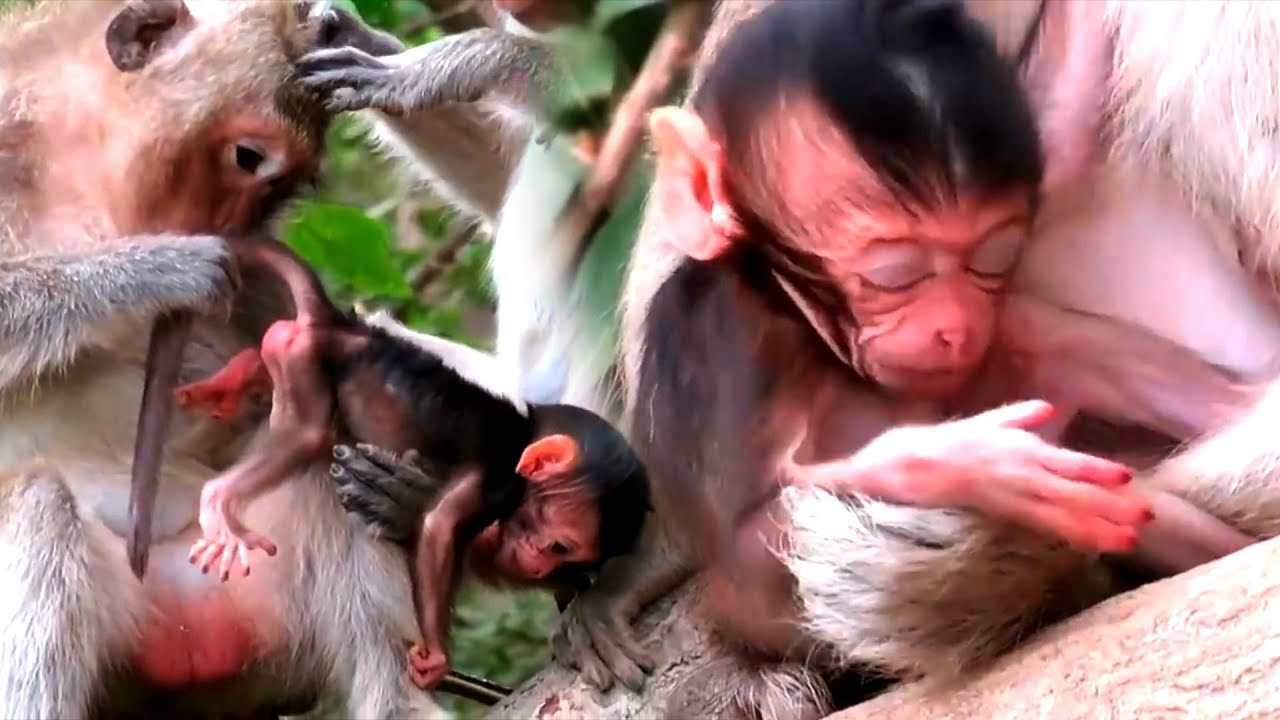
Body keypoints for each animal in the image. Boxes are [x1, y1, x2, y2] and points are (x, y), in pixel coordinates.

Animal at [0, 1, 477, 716]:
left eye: (283, 189)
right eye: (247, 157)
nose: (231, 232)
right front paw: (161, 267)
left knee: (321, 456)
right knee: (37, 506)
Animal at [156, 236, 650, 688]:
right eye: (560, 546)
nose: (538, 565)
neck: (525, 427)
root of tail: (336, 324)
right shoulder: (495, 478)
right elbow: (437, 531)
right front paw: (436, 654)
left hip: (292, 351)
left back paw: (230, 384)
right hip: (305, 358)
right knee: (309, 434)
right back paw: (219, 500)